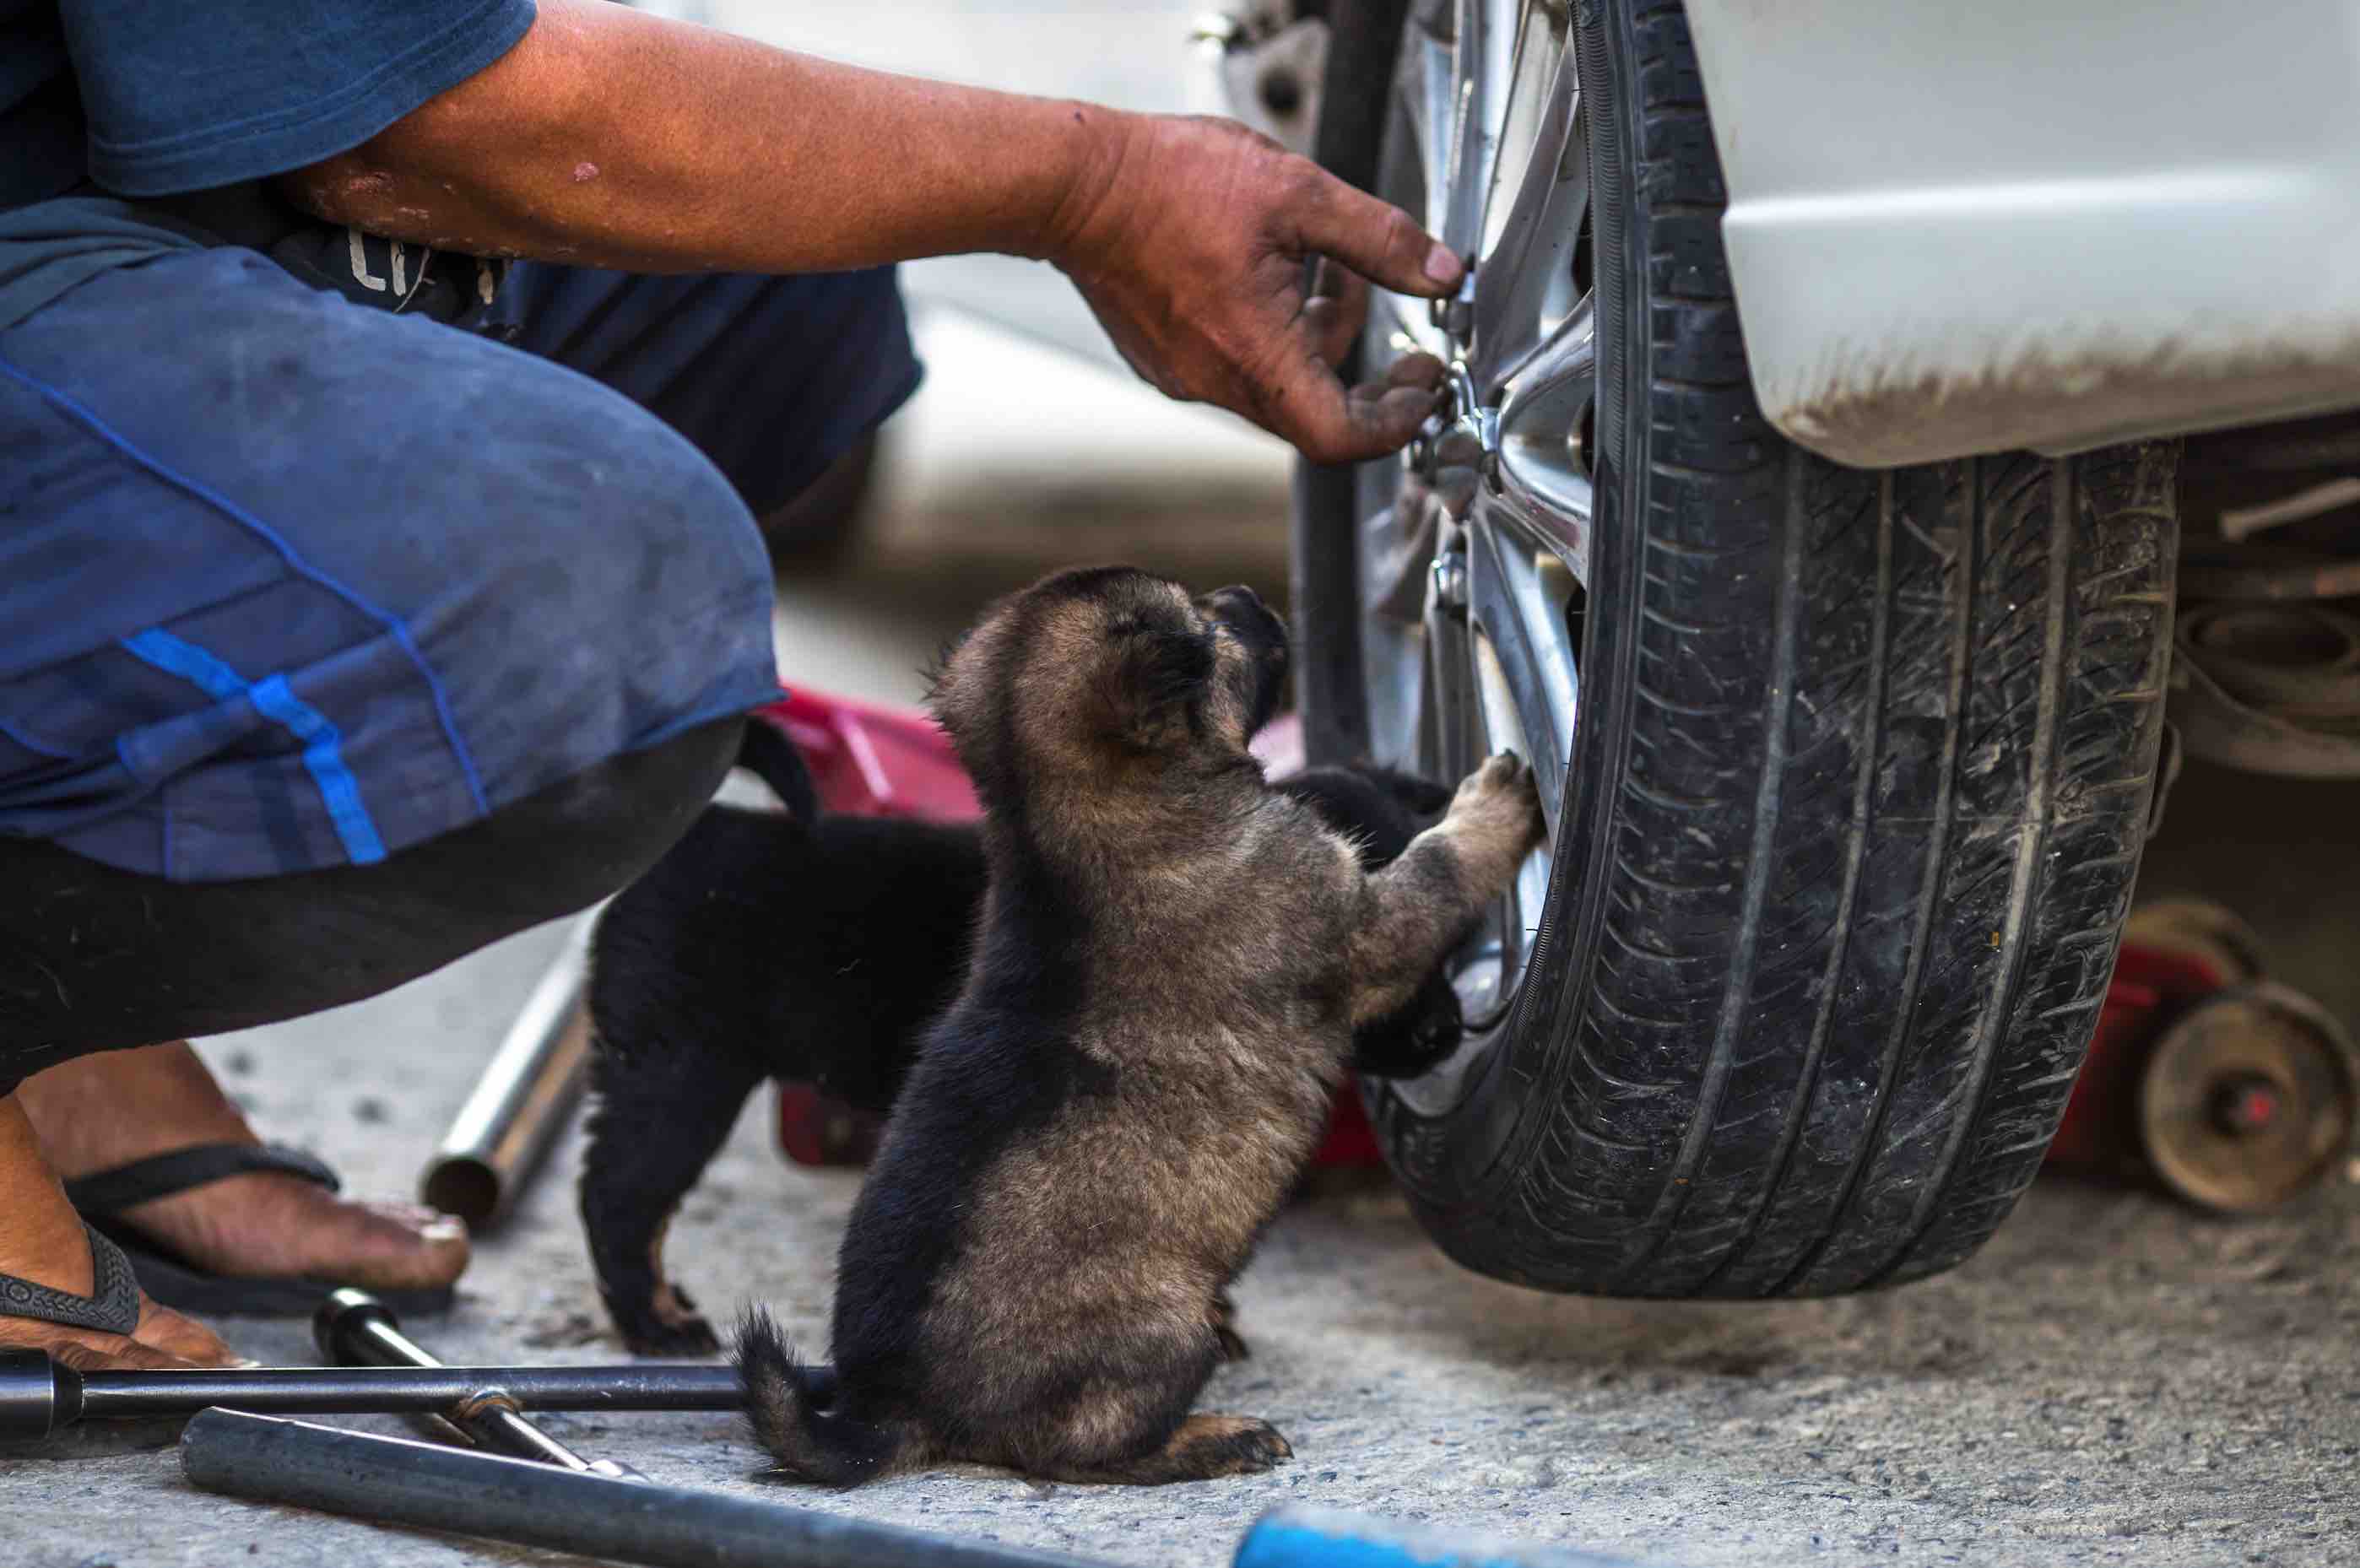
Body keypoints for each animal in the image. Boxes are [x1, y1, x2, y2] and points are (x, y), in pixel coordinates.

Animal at [736, 563, 1548, 1480]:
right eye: (1208, 626)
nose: (1249, 595)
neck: (1062, 825)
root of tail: (893, 1409)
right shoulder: (1359, 922)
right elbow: (1440, 868)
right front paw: (1493, 804)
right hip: (1160, 1330)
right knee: (1085, 1449)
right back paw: (1216, 1435)